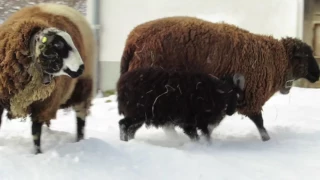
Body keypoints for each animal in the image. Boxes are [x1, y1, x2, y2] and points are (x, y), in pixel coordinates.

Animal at [0, 3, 96, 153]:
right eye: (58, 46)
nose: (81, 68)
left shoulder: (42, 105)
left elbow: (35, 132)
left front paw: (38, 153)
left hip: (83, 86)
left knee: (80, 118)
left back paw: (80, 141)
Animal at [117, 67, 245, 141]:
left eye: (235, 92)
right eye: (228, 94)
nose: (230, 111)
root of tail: (121, 83)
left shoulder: (200, 123)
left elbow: (205, 136)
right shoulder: (188, 122)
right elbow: (198, 137)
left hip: (141, 116)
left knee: (131, 129)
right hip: (137, 114)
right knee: (123, 124)